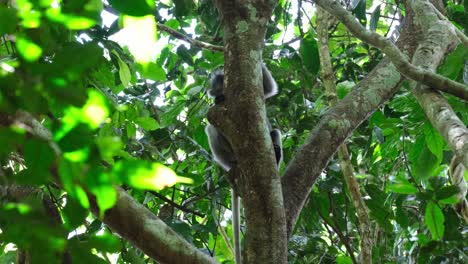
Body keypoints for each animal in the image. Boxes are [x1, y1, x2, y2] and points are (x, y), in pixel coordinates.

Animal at [205, 63, 282, 262]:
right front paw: (218, 99)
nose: (214, 88)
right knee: (211, 129)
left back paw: (276, 154)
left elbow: (268, 89)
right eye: (215, 83)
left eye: (219, 80)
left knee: (274, 132)